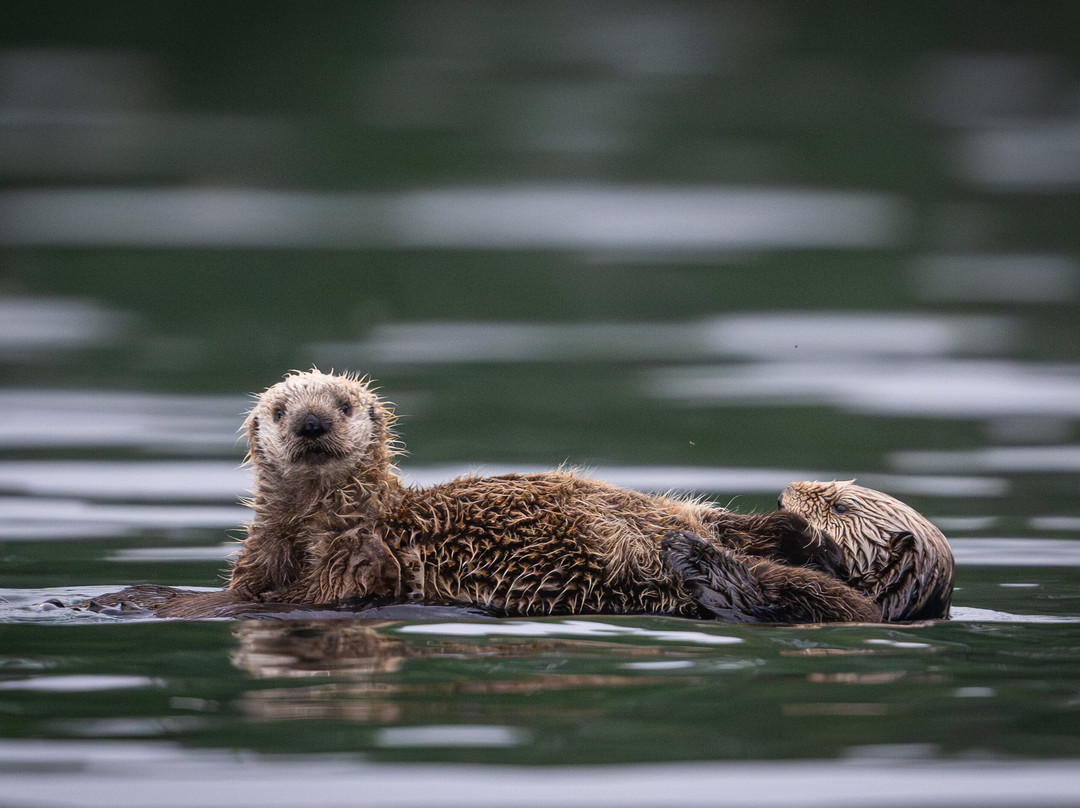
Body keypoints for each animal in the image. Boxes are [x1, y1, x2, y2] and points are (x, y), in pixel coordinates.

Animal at [224, 369, 879, 624]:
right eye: (280, 411)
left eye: (343, 404)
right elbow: (260, 586)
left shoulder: (358, 552)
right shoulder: (266, 552)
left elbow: (322, 589)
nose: (311, 424)